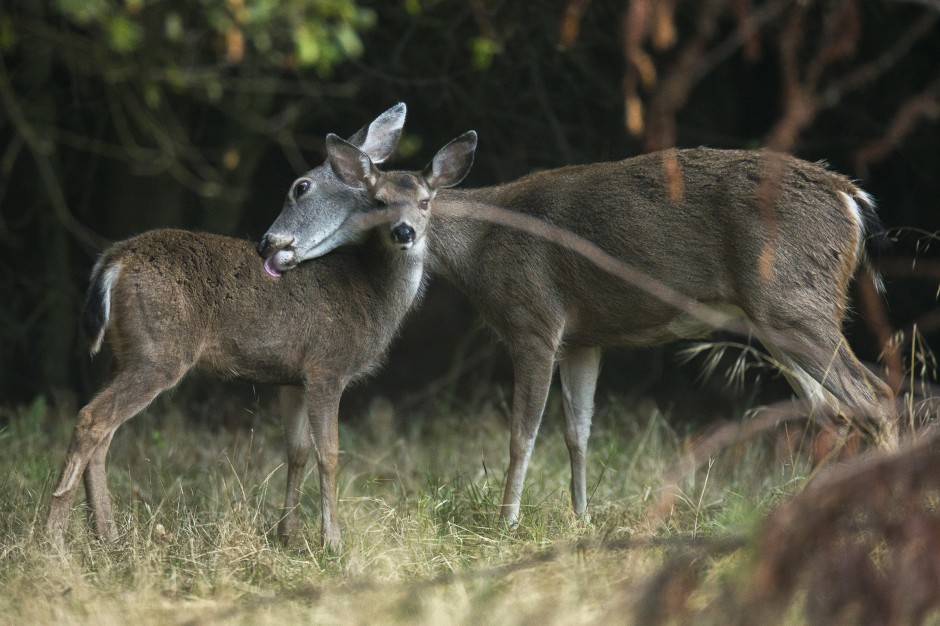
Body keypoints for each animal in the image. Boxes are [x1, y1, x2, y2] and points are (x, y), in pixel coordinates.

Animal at [45, 120, 479, 551]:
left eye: (425, 202)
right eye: (380, 202)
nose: (404, 232)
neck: (370, 295)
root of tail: (114, 258)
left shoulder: (293, 377)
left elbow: (297, 451)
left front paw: (287, 534)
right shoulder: (327, 367)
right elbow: (329, 454)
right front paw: (332, 541)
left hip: (125, 353)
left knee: (103, 432)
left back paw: (106, 536)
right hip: (159, 352)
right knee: (91, 418)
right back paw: (54, 540)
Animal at [260, 134, 898, 531]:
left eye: (303, 187)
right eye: (375, 199)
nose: (271, 241)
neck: (481, 252)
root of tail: (853, 200)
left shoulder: (534, 320)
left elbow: (522, 433)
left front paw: (507, 520)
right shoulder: (584, 338)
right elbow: (578, 432)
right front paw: (582, 515)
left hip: (795, 304)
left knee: (876, 396)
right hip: (777, 319)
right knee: (834, 411)